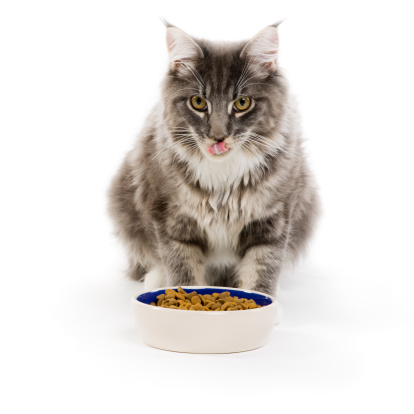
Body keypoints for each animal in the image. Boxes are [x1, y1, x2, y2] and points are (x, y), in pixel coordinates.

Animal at [108, 22, 318, 296]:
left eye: (242, 103)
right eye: (198, 102)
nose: (218, 137)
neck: (223, 176)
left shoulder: (274, 220)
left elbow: (262, 269)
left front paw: (263, 300)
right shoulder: (170, 219)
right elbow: (182, 269)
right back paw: (156, 279)